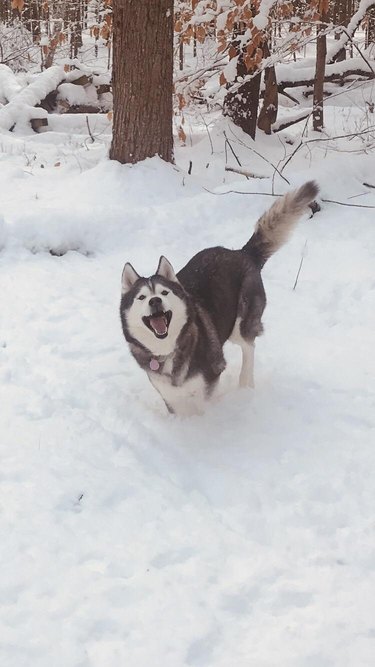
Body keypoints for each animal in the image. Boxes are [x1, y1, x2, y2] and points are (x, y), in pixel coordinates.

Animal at [121, 180, 320, 414]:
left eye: (164, 292)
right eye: (142, 297)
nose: (155, 301)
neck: (167, 350)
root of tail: (241, 253)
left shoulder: (213, 372)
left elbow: (203, 403)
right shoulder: (166, 390)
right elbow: (178, 405)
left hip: (241, 321)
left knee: (249, 346)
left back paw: (245, 384)